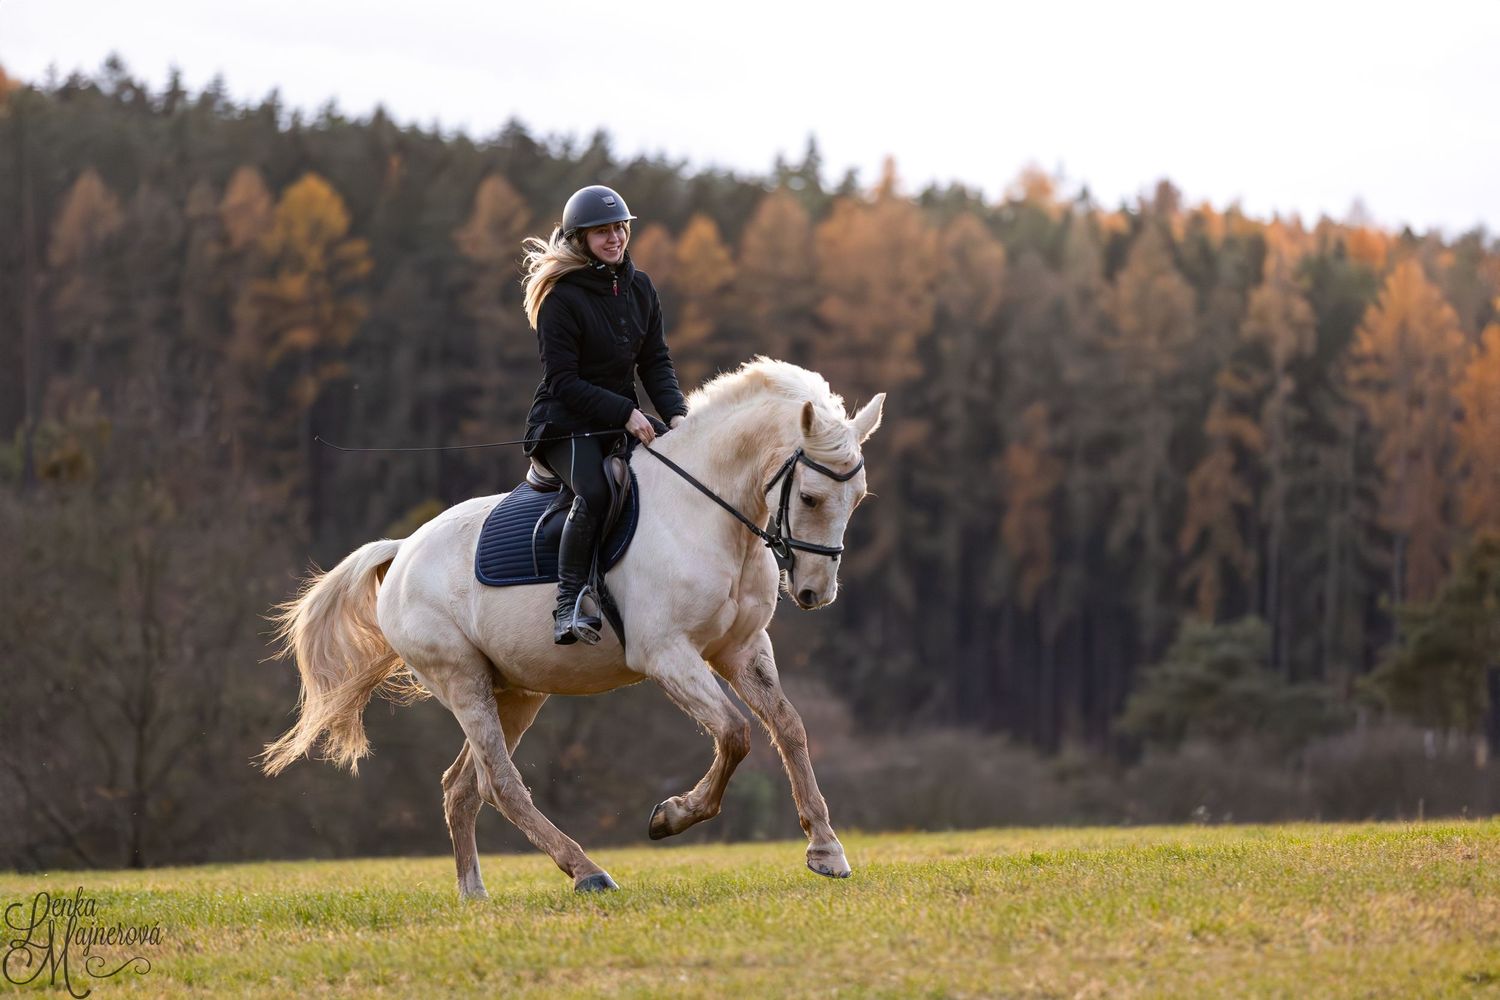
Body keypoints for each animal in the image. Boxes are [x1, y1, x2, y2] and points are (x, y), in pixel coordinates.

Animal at [259, 358, 885, 897]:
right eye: (811, 497)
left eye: (857, 497)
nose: (815, 594)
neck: (705, 513)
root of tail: (404, 550)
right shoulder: (666, 655)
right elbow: (736, 733)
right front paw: (672, 816)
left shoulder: (741, 649)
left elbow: (789, 727)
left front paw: (826, 850)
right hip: (461, 681)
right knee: (500, 784)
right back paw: (586, 871)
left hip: (516, 691)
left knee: (463, 787)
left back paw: (474, 893)